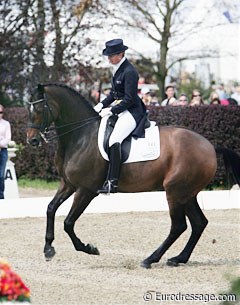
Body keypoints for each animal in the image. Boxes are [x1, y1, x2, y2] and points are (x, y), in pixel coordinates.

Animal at [26, 82, 240, 268]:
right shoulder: (68, 184)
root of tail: (210, 146)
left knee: (179, 226)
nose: (32, 140)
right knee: (198, 223)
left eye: (39, 110)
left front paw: (89, 248)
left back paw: (150, 259)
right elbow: (50, 208)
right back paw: (178, 258)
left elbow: (68, 223)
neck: (81, 136)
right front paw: (48, 248)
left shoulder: (86, 190)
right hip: (187, 193)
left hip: (175, 191)